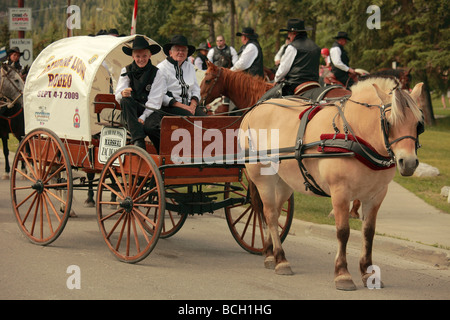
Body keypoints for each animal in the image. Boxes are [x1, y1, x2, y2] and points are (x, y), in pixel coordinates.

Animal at [239, 77, 426, 290]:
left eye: (418, 124)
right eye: (388, 122)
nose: (408, 162)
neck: (354, 134)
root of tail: (254, 109)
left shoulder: (376, 195)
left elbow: (368, 232)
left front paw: (367, 272)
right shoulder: (340, 192)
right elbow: (343, 232)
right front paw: (343, 273)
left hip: (285, 182)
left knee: (276, 213)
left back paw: (270, 254)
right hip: (264, 179)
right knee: (269, 214)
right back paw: (281, 259)